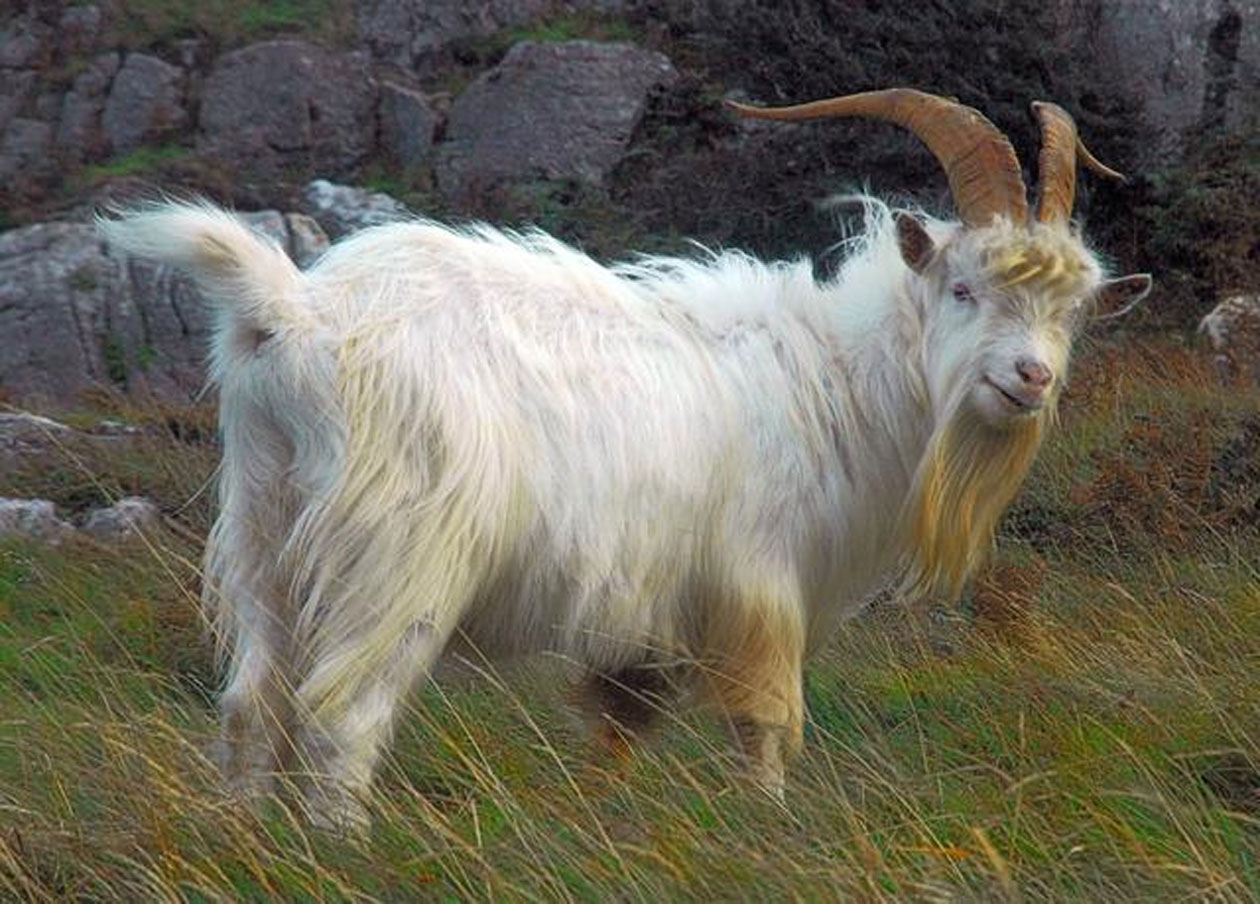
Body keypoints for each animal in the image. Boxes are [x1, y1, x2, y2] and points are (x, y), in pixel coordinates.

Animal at [98, 90, 1154, 827]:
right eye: (964, 287)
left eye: (1071, 312)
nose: (1030, 378)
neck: (833, 379)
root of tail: (293, 314)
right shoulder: (756, 586)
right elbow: (767, 727)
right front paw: (768, 834)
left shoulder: (643, 624)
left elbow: (614, 733)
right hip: (400, 556)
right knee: (342, 715)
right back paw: (342, 851)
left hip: (266, 536)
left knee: (253, 706)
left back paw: (248, 841)